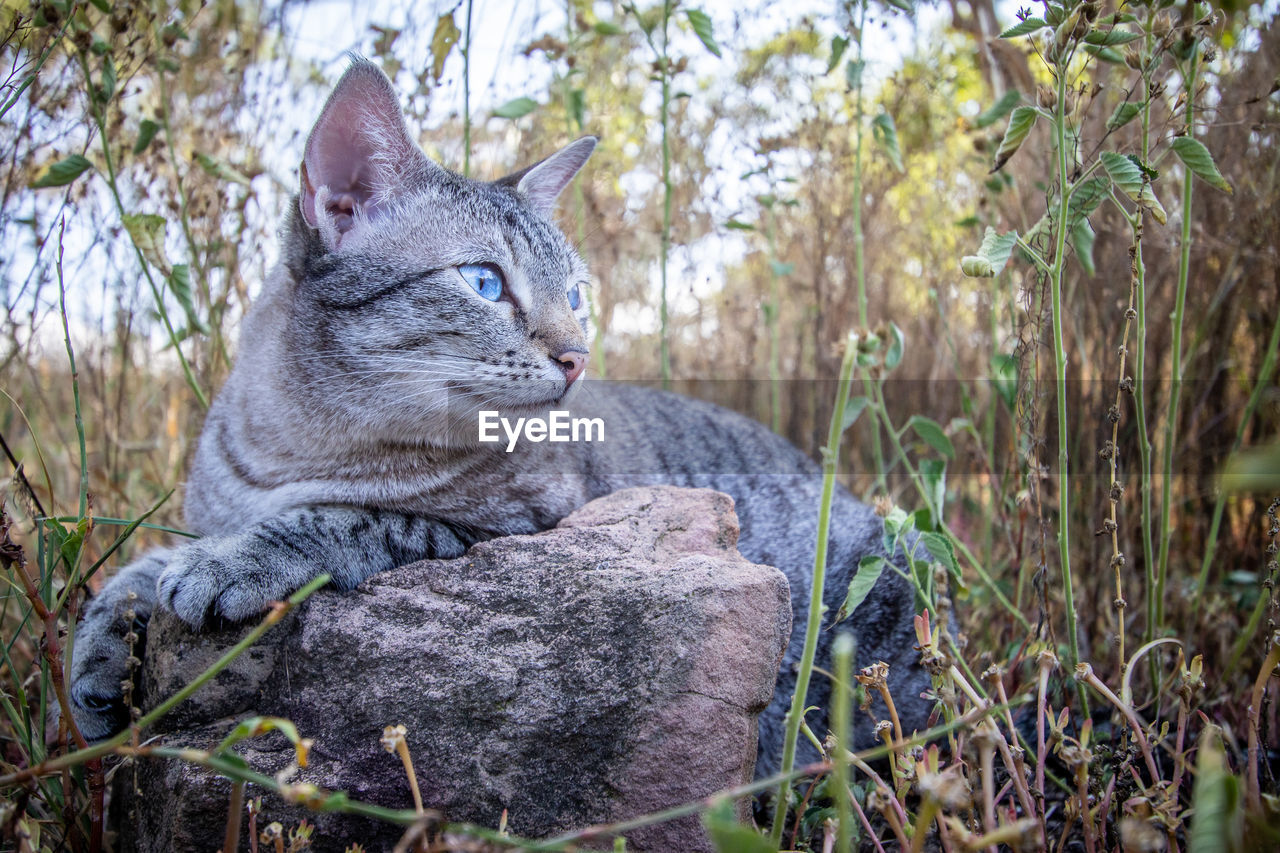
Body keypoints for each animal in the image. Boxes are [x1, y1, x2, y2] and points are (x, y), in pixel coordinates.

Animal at [67, 58, 931, 778]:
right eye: (484, 282)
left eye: (574, 293)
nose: (578, 353)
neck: (296, 442)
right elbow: (133, 571)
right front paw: (100, 656)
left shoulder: (511, 529)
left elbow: (345, 516)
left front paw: (232, 559)